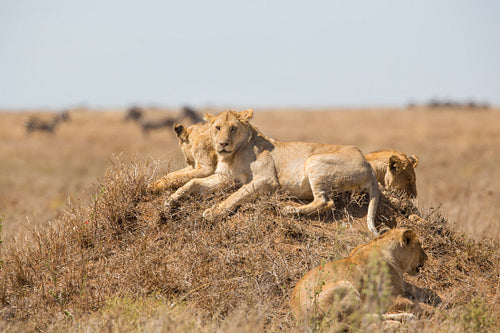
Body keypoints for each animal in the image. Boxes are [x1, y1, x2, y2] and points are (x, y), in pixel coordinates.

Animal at [166, 109, 380, 233]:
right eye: (218, 128)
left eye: (233, 128)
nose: (223, 144)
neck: (233, 155)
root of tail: (367, 164)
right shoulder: (224, 177)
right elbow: (192, 183)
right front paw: (170, 201)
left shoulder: (266, 179)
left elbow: (237, 194)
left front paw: (214, 211)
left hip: (314, 160)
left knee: (326, 202)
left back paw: (289, 210)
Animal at [288, 227, 440, 326]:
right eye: (419, 245)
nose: (426, 257)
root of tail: (299, 316)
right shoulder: (393, 298)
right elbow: (422, 307)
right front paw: (443, 313)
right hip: (345, 286)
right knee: (353, 321)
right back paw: (397, 322)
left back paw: (405, 318)